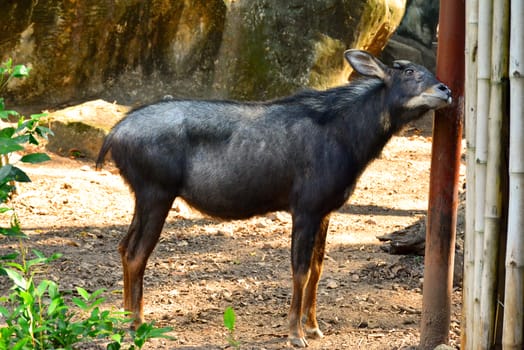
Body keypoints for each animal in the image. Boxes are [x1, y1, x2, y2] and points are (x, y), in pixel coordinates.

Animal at [95, 50, 450, 348]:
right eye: (408, 71)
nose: (445, 90)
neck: (349, 138)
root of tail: (114, 135)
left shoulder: (325, 211)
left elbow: (318, 267)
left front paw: (314, 326)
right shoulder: (305, 208)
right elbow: (300, 269)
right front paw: (295, 334)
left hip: (143, 196)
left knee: (124, 246)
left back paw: (123, 318)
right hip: (156, 193)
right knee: (137, 253)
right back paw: (135, 323)